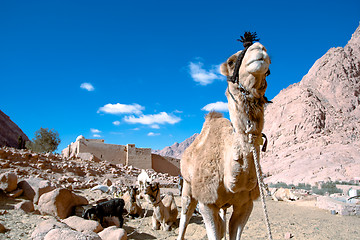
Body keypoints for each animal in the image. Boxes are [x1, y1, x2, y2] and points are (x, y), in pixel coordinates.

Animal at [176, 32, 272, 240]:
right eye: (231, 61)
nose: (259, 49)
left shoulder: (246, 204)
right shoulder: (207, 201)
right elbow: (214, 232)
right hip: (187, 184)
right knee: (186, 213)